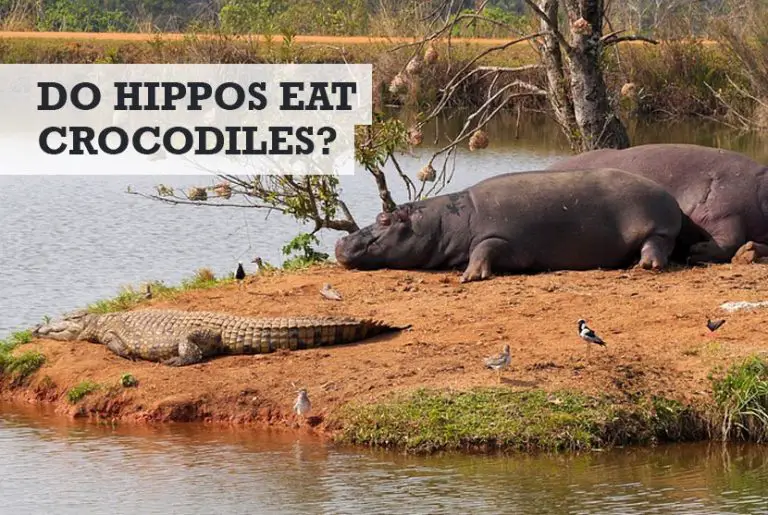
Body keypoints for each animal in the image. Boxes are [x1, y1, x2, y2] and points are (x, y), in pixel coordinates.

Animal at [334, 168, 683, 282]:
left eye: (383, 219)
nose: (339, 242)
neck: (445, 223)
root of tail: (669, 196)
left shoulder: (507, 239)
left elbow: (484, 248)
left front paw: (469, 276)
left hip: (658, 226)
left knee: (656, 245)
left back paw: (645, 266)